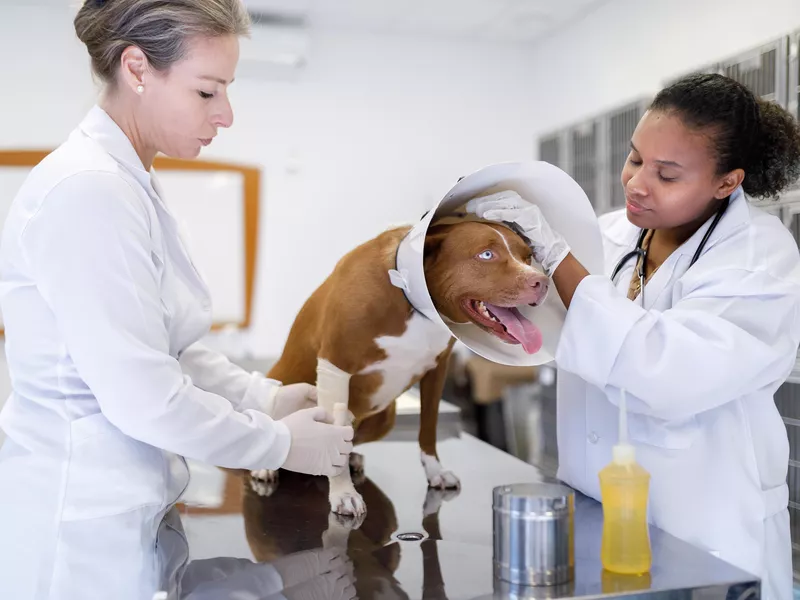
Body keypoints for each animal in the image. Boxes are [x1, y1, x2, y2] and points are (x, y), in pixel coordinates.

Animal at [252, 218, 552, 516]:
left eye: (528, 256)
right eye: (486, 255)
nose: (542, 282)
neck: (411, 296)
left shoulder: (437, 370)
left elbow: (428, 428)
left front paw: (435, 473)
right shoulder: (335, 364)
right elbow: (332, 437)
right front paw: (343, 493)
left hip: (386, 416)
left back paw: (352, 457)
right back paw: (266, 466)